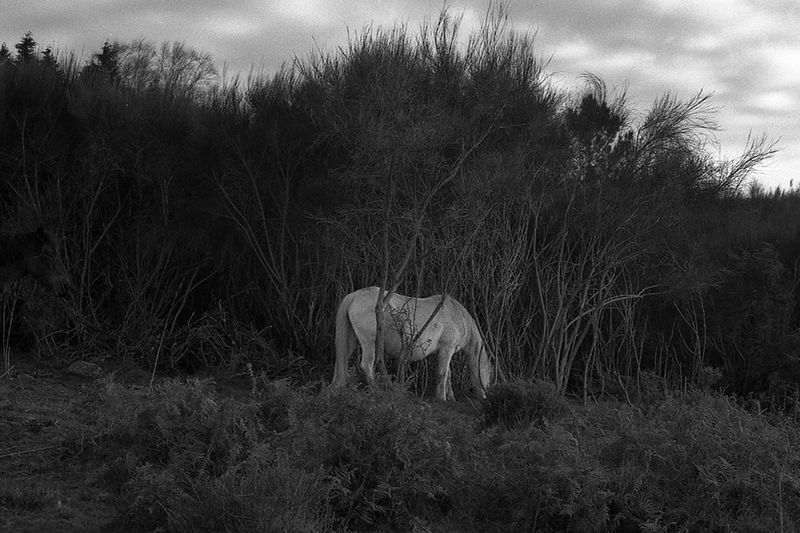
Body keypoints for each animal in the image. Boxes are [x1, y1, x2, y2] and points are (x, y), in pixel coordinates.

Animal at [332, 286, 492, 401]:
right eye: (488, 377)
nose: (485, 397)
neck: (457, 315)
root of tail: (354, 296)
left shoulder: (444, 351)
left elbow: (448, 374)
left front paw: (451, 397)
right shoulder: (447, 349)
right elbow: (442, 373)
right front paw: (441, 398)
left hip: (351, 340)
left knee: (341, 359)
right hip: (369, 341)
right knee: (366, 364)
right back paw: (376, 389)